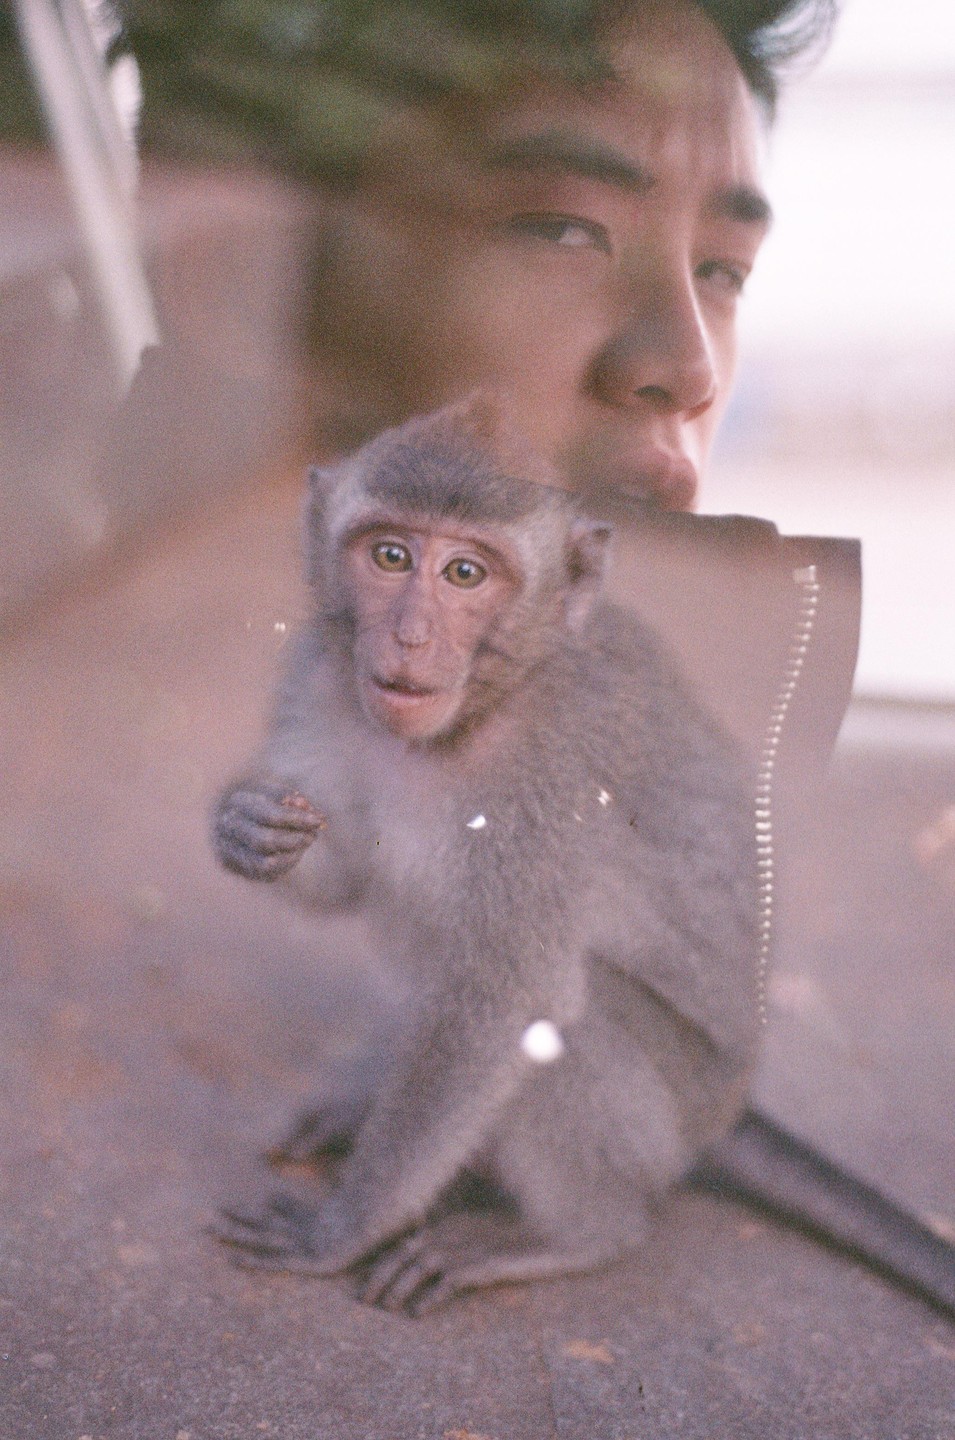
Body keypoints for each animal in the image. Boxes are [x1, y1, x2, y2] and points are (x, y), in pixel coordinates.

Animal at [210, 398, 955, 1321]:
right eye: (389, 555)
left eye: (465, 573)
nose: (409, 637)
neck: (481, 709)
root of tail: (729, 1114)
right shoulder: (316, 670)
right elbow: (345, 869)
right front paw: (246, 826)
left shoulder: (553, 776)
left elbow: (506, 997)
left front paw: (342, 1230)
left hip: (669, 1110)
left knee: (571, 1020)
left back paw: (570, 1234)